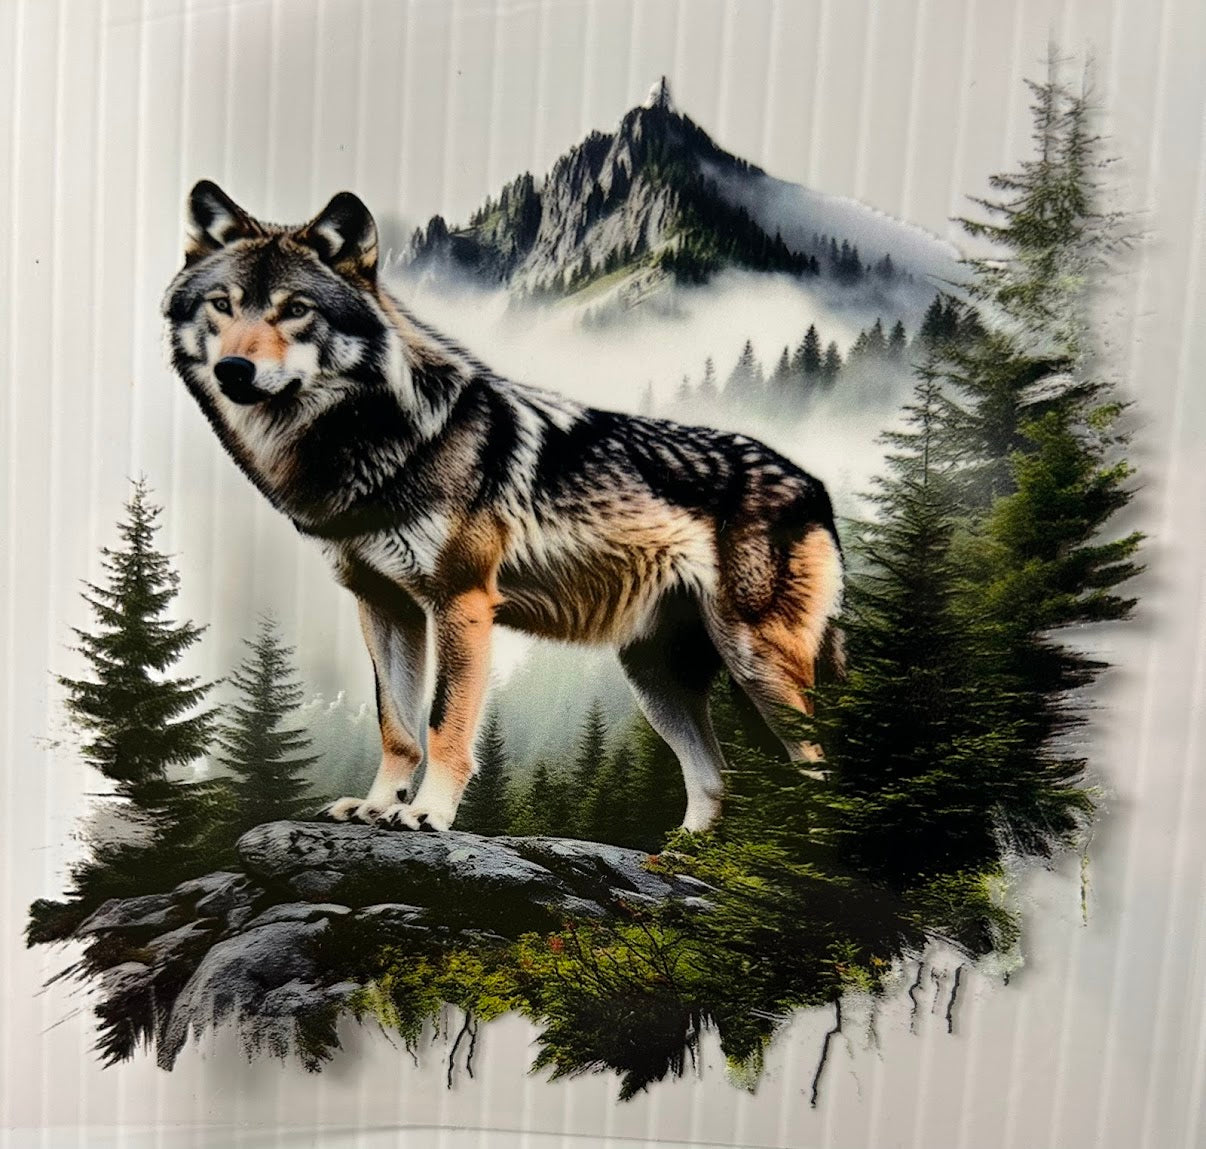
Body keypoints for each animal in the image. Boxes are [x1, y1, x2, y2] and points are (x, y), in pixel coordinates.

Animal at [163, 181, 844, 834]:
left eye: (297, 309)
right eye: (222, 305)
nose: (234, 369)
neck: (385, 442)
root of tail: (816, 486)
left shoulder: (461, 602)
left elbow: (443, 722)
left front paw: (427, 815)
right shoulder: (383, 606)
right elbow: (395, 726)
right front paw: (376, 806)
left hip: (758, 666)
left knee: (820, 768)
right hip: (657, 682)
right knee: (713, 779)